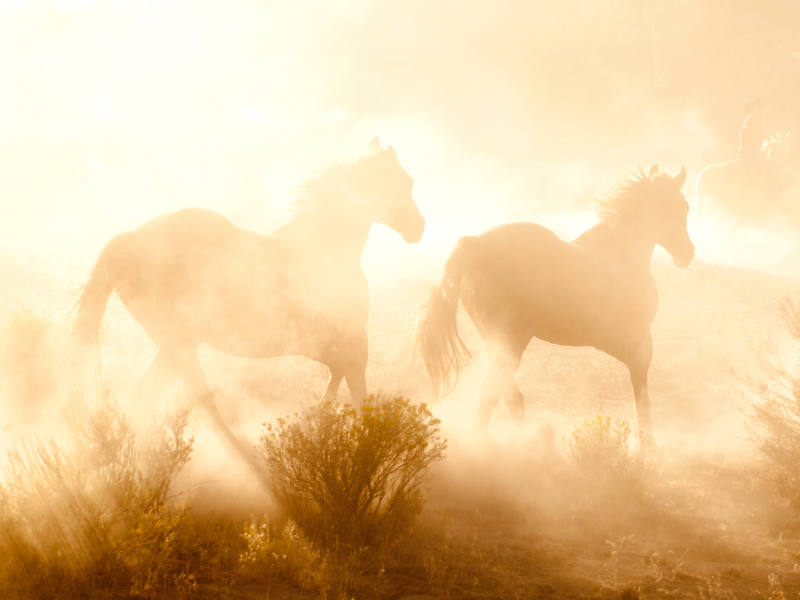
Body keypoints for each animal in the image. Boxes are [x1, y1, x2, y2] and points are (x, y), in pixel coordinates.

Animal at [72, 137, 424, 460]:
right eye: (403, 182)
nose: (419, 228)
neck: (323, 248)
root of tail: (130, 239)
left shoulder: (319, 342)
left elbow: (339, 373)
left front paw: (320, 418)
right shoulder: (347, 338)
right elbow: (356, 386)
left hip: (177, 345)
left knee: (162, 394)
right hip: (180, 343)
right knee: (181, 397)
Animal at [416, 166, 692, 434]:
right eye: (681, 207)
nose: (689, 253)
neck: (620, 254)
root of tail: (476, 244)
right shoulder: (639, 344)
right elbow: (642, 402)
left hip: (497, 341)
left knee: (509, 395)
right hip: (512, 339)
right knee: (491, 392)